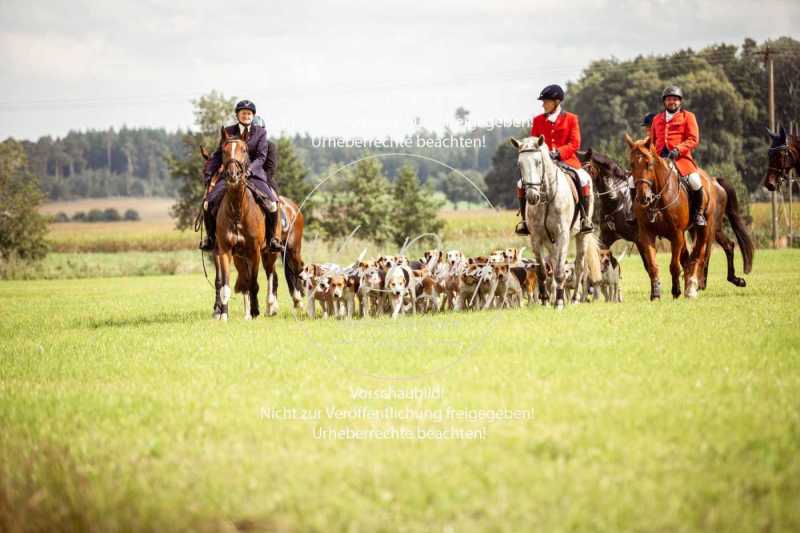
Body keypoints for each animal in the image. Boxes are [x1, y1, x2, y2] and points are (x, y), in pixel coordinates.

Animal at [512, 135, 600, 310]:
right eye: (520, 164)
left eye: (538, 162)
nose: (532, 197)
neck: (546, 197)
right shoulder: (536, 238)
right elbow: (542, 271)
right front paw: (545, 299)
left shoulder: (563, 235)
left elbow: (560, 270)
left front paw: (559, 301)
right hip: (550, 242)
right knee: (552, 262)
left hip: (581, 236)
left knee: (579, 266)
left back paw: (574, 298)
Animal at [580, 145, 752, 288]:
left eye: (587, 168)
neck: (617, 199)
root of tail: (715, 182)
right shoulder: (607, 236)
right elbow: (598, 257)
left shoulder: (640, 237)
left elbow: (648, 263)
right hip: (698, 229)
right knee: (723, 246)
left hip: (710, 227)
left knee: (714, 248)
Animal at [624, 133, 724, 300]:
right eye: (631, 164)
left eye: (648, 164)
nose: (643, 198)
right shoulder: (646, 234)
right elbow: (653, 265)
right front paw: (656, 293)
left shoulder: (676, 235)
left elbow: (674, 266)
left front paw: (676, 291)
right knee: (688, 258)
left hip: (703, 229)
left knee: (698, 255)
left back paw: (691, 288)